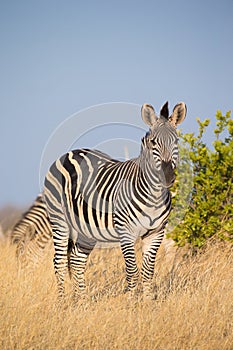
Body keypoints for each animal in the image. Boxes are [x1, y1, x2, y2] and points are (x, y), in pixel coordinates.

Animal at [43, 101, 186, 300]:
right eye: (153, 142)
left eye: (176, 141)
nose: (168, 176)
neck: (154, 196)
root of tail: (72, 152)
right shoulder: (126, 233)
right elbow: (132, 271)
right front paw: (131, 303)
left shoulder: (156, 233)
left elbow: (148, 271)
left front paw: (148, 303)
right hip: (59, 220)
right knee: (59, 262)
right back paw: (62, 302)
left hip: (87, 229)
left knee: (77, 260)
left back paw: (82, 302)